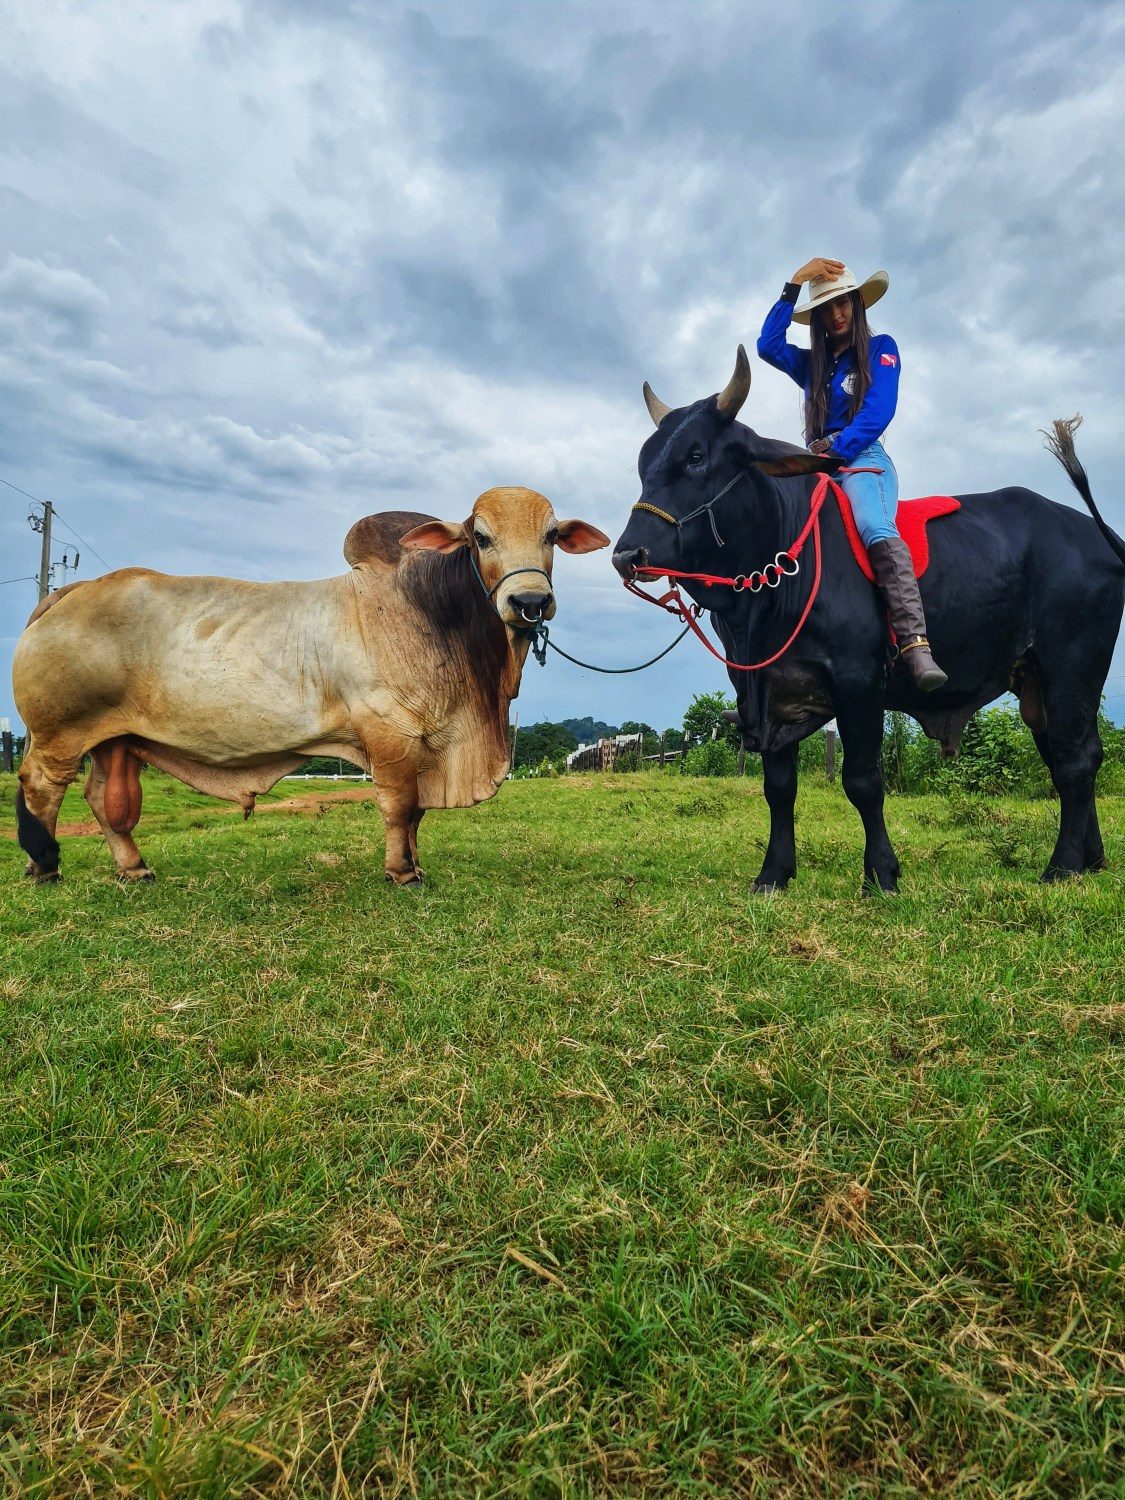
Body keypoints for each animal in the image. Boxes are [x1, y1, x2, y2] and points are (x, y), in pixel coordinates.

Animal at [11, 492, 609, 882]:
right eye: (480, 537)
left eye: (551, 535)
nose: (530, 601)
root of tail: (68, 592)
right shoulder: (390, 736)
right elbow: (399, 806)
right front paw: (402, 872)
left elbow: (416, 811)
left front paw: (415, 863)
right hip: (59, 735)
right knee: (41, 786)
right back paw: (43, 867)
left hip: (115, 739)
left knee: (105, 801)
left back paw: (134, 868)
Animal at [618, 351, 1125, 888]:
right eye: (644, 464)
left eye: (696, 457)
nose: (627, 554)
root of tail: (1093, 532)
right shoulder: (766, 691)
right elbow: (778, 787)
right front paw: (773, 873)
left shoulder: (859, 682)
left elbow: (862, 781)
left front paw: (881, 873)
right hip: (1036, 681)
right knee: (1069, 753)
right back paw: (1091, 859)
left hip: (1073, 666)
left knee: (1074, 758)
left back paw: (1063, 866)